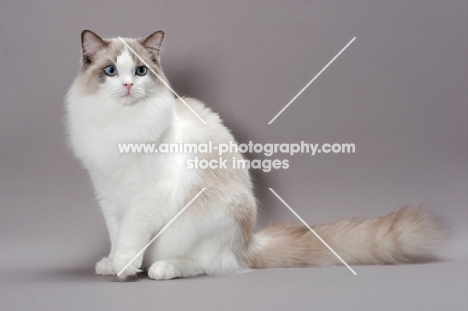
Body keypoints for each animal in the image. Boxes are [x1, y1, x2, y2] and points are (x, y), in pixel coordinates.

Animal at [65, 30, 442, 282]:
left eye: (140, 71)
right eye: (111, 71)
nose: (128, 85)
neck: (119, 124)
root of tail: (248, 243)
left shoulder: (146, 194)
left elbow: (131, 237)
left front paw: (125, 267)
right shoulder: (109, 192)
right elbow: (117, 234)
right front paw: (112, 264)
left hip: (209, 218)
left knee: (208, 263)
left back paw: (162, 268)